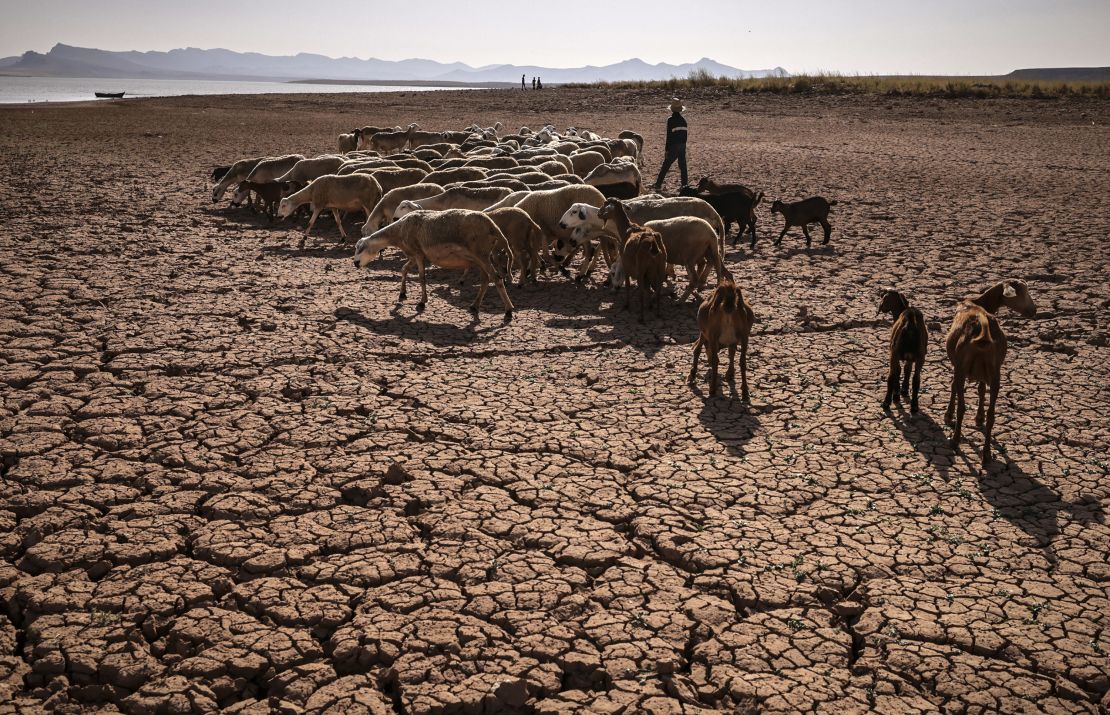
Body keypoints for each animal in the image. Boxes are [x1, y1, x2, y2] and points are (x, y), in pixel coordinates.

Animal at [350, 206, 515, 317]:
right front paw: (402, 293)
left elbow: (422, 278)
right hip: (481, 258)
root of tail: (493, 226)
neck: (399, 231)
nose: (355, 263)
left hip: (482, 255)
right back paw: (475, 305)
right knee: (486, 280)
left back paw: (508, 310)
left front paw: (422, 302)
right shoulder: (414, 255)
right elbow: (404, 269)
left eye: (360, 248)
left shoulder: (417, 254)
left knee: (496, 279)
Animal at [941, 276, 1034, 466]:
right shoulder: (984, 374)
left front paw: (948, 415)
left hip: (963, 367)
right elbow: (981, 389)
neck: (978, 302)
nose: (1034, 310)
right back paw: (987, 454)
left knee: (962, 405)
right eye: (1021, 292)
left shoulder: (958, 366)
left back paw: (955, 440)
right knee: (992, 414)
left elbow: (954, 386)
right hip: (995, 372)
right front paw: (979, 418)